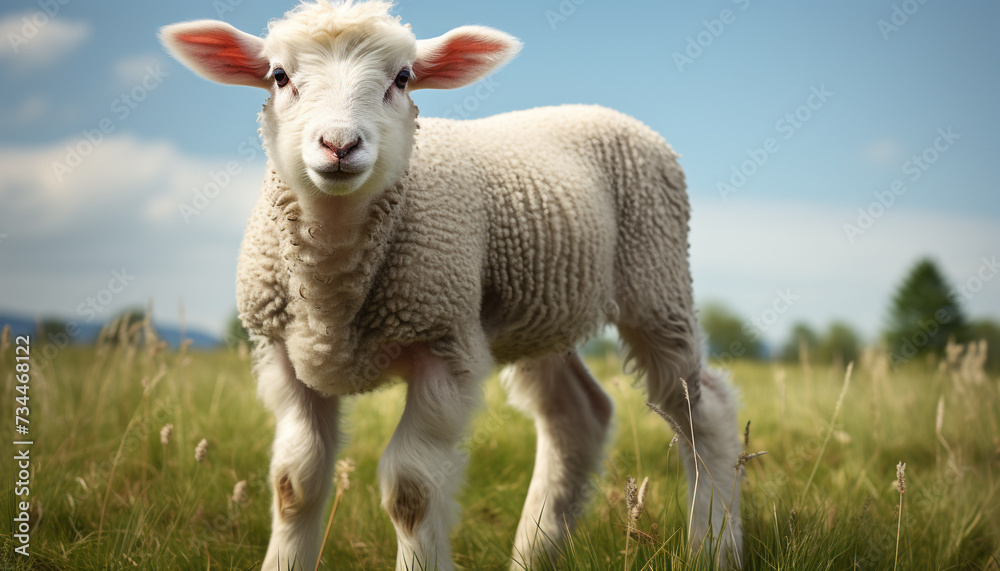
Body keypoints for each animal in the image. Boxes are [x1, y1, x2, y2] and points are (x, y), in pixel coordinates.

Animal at [160, 1, 744, 569]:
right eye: (279, 76)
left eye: (402, 78)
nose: (339, 145)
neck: (333, 288)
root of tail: (596, 109)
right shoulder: (282, 354)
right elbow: (294, 483)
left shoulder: (443, 344)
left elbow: (411, 490)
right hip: (536, 313)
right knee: (576, 417)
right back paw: (532, 554)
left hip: (656, 281)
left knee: (702, 410)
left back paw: (713, 546)